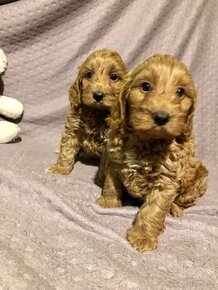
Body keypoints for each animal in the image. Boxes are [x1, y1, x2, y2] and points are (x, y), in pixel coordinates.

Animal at [96, 53, 208, 251]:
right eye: (146, 86)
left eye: (180, 91)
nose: (161, 117)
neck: (147, 140)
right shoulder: (115, 161)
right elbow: (110, 184)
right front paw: (108, 202)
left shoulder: (167, 179)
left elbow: (154, 209)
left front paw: (143, 236)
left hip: (200, 177)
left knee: (183, 200)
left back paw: (174, 209)